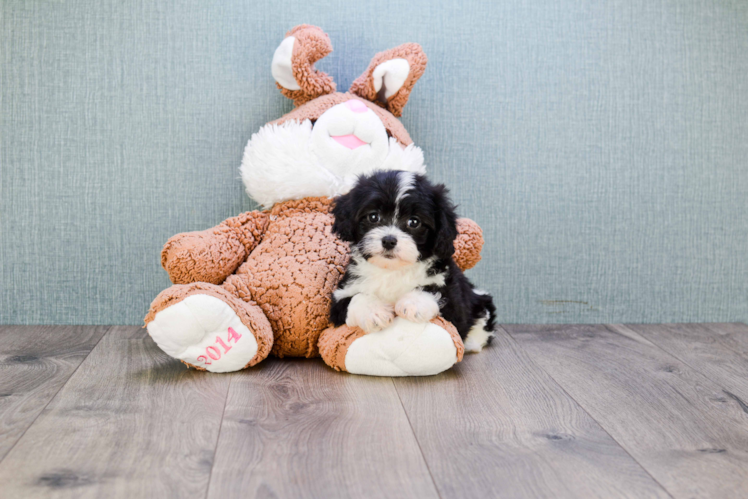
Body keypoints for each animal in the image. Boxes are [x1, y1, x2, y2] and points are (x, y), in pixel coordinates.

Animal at [328, 170, 496, 354]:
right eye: (373, 217)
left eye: (414, 222)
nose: (389, 240)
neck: (392, 270)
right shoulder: (341, 295)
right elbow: (355, 298)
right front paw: (374, 311)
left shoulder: (454, 300)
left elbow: (438, 292)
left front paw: (414, 303)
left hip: (480, 300)